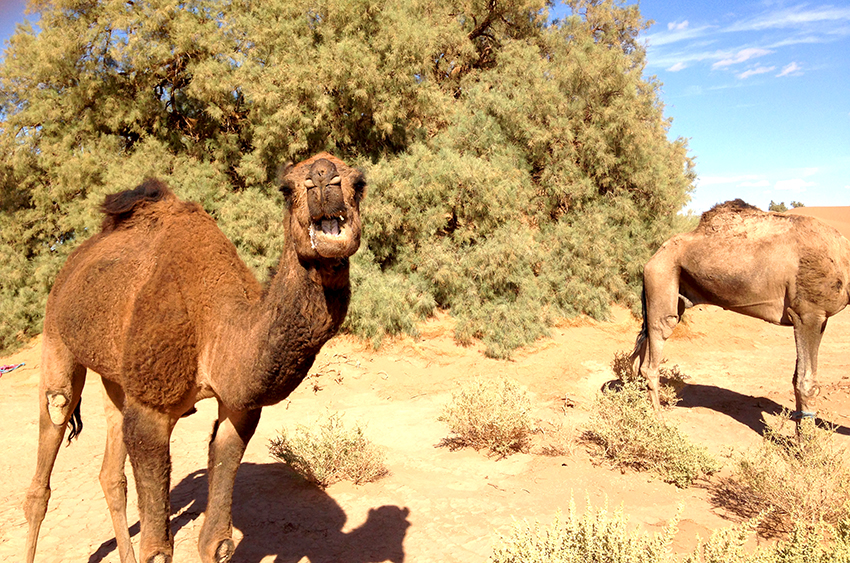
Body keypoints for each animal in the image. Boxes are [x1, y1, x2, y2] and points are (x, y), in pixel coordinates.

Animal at [23, 153, 366, 563]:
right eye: (286, 189)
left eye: (360, 183)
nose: (323, 177)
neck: (214, 327)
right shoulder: (152, 408)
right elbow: (157, 551)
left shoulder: (238, 409)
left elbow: (217, 543)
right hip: (57, 331)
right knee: (53, 425)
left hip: (116, 374)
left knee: (111, 473)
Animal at [628, 200, 848, 420]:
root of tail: (653, 257)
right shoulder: (807, 314)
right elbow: (806, 383)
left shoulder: (819, 319)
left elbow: (797, 379)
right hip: (662, 275)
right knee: (656, 346)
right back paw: (658, 419)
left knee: (638, 357)